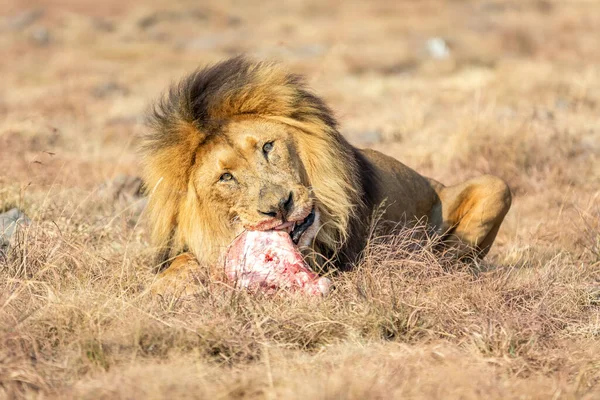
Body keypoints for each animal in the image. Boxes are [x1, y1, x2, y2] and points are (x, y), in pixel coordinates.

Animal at [141, 56, 510, 296]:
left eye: (268, 147)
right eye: (226, 178)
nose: (279, 206)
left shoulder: (326, 259)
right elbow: (183, 260)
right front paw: (165, 287)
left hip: (496, 186)